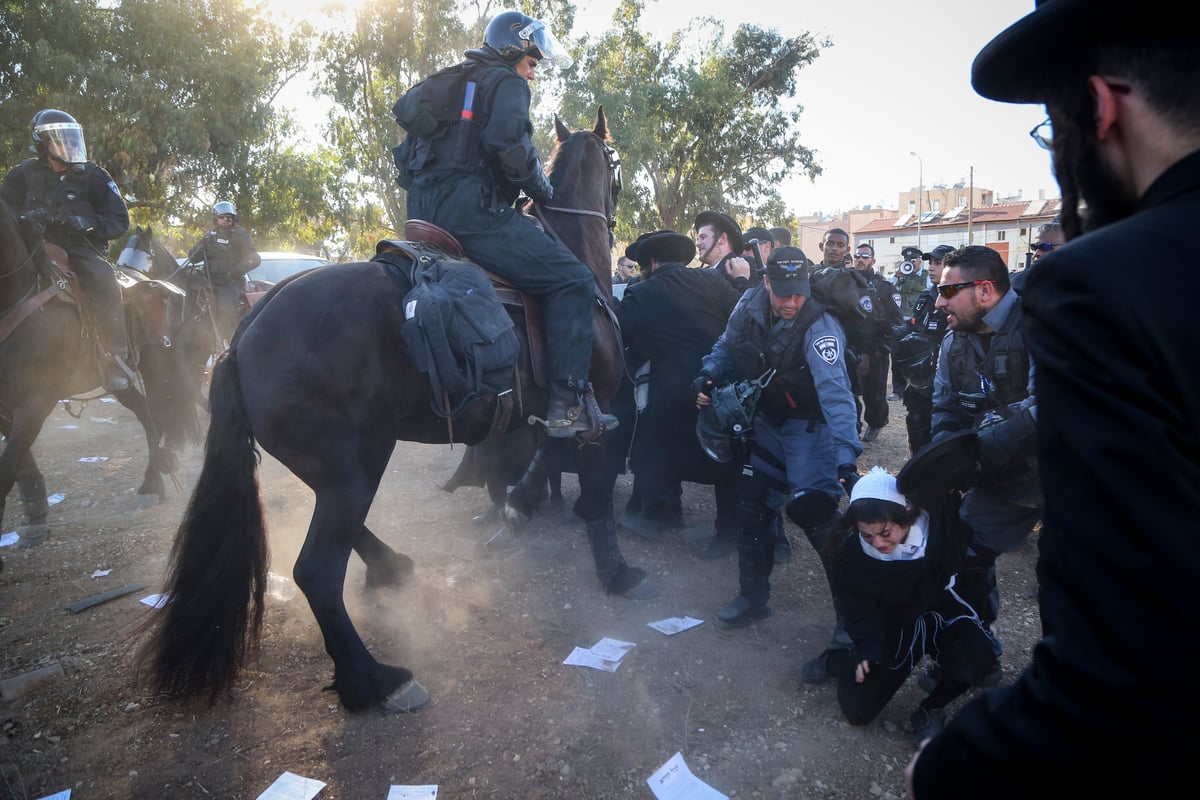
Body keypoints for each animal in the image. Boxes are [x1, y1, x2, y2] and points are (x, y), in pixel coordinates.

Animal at [0, 200, 196, 537]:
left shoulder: (37, 399)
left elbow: (9, 462)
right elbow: (19, 459)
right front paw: (35, 512)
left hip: (156, 364)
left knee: (158, 409)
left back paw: (155, 477)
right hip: (117, 377)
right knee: (145, 410)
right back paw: (157, 473)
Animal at [145, 106, 652, 714]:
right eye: (617, 168)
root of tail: (243, 336)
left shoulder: (557, 417)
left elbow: (544, 456)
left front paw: (522, 504)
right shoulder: (595, 412)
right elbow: (595, 494)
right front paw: (616, 571)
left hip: (335, 467)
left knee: (347, 537)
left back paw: (391, 571)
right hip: (355, 467)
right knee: (317, 571)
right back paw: (374, 679)